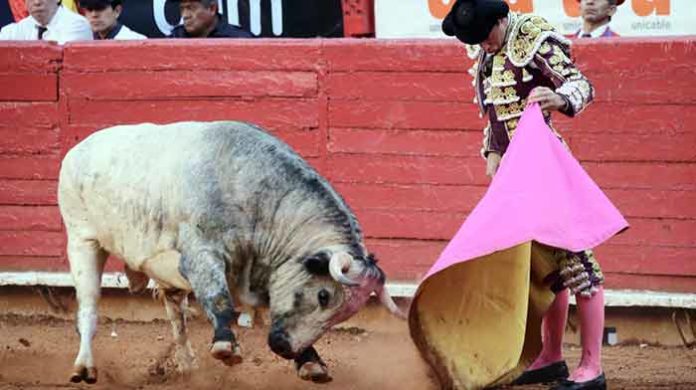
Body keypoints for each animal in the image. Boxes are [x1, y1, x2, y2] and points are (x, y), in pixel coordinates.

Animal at [58, 122, 408, 384]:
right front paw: (226, 345)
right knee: (88, 308)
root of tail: (77, 149)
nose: (284, 349)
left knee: (177, 315)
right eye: (323, 295)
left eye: (342, 315)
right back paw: (84, 367)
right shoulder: (202, 256)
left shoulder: (264, 273)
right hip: (82, 241)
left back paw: (187, 366)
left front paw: (310, 361)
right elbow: (217, 297)